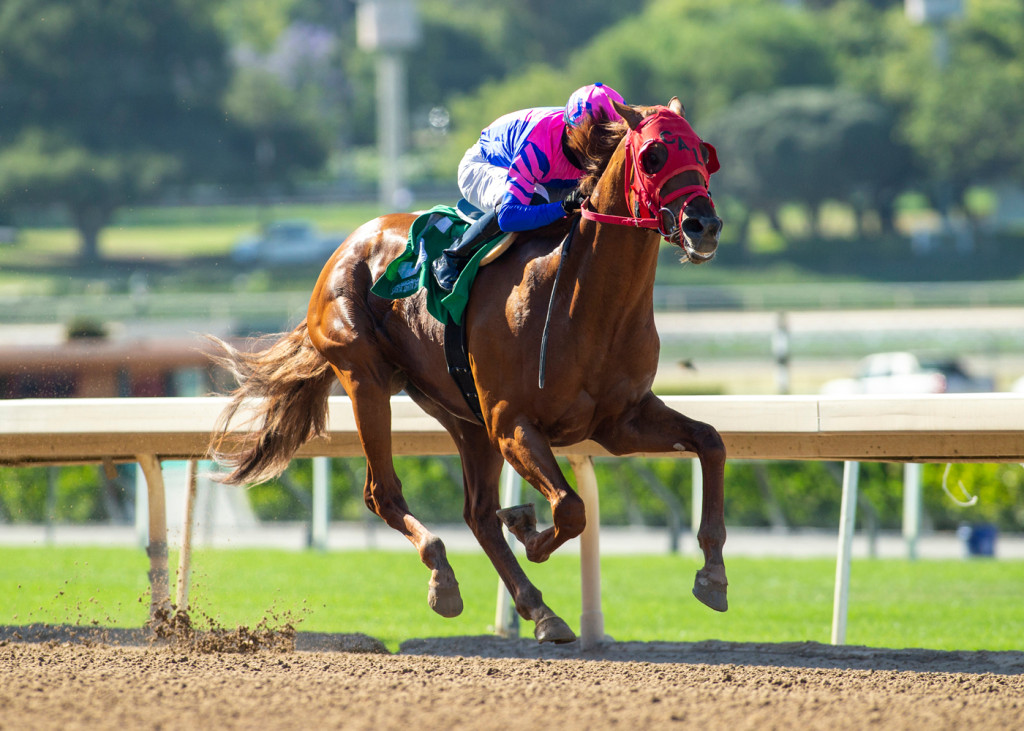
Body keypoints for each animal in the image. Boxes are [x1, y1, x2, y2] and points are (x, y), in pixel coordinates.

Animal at [209, 97, 727, 644]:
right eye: (652, 156)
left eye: (703, 153)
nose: (704, 225)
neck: (584, 300)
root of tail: (348, 242)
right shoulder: (512, 422)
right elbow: (570, 508)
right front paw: (529, 529)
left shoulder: (619, 422)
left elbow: (710, 441)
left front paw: (713, 575)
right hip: (366, 378)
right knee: (382, 494)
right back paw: (444, 577)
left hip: (461, 413)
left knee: (477, 514)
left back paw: (540, 609)